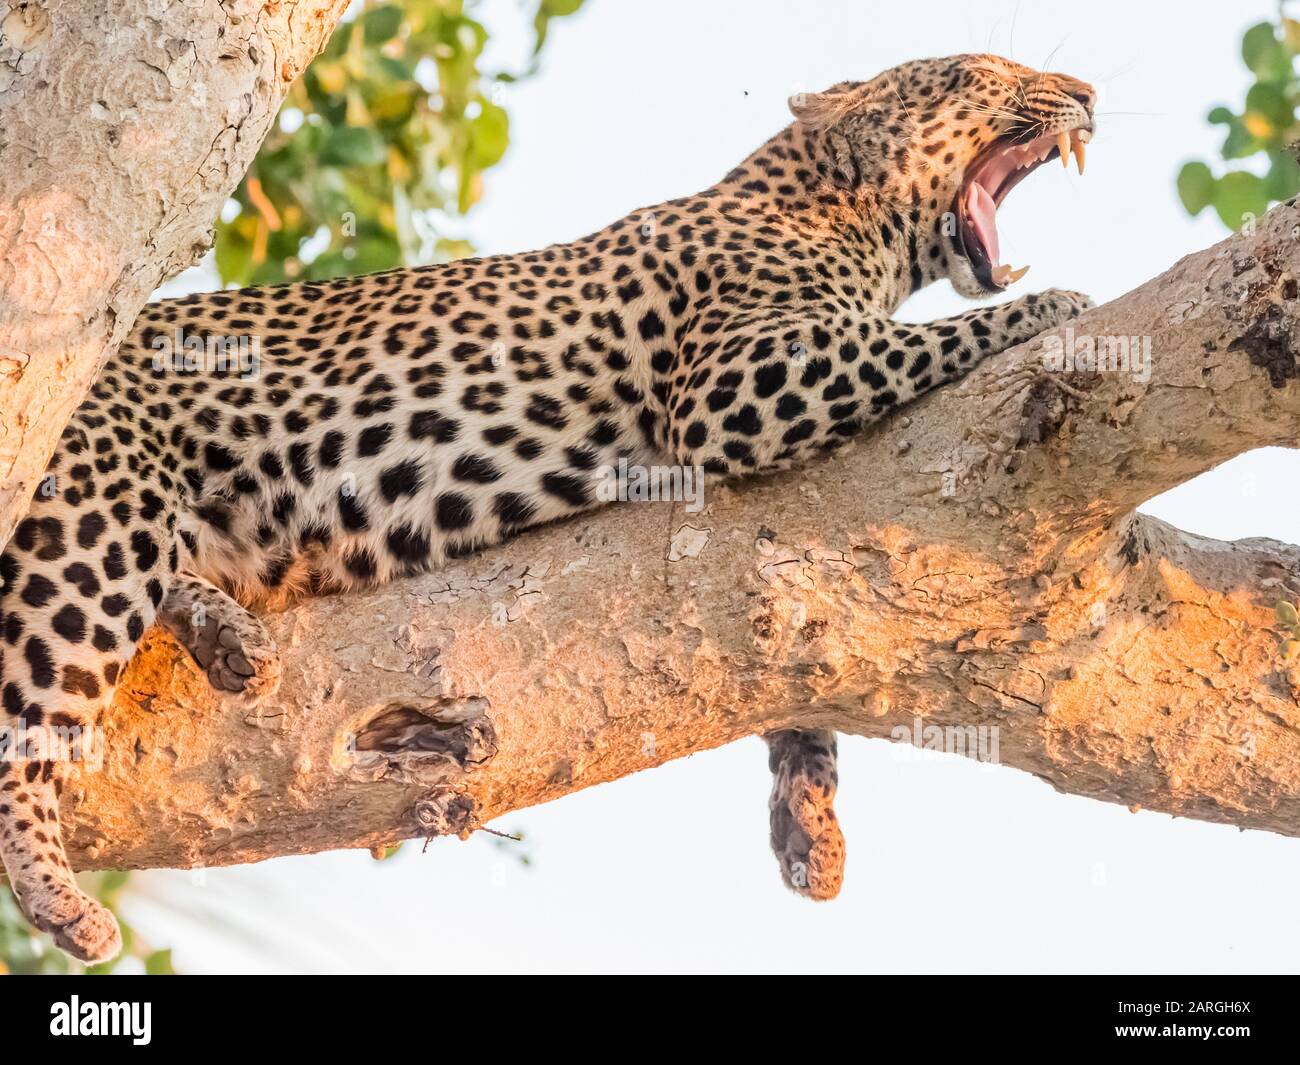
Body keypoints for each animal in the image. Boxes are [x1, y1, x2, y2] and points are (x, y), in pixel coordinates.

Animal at [0, 52, 1097, 967]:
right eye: (978, 70)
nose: (1085, 92)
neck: (842, 213)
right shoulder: (735, 380)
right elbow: (918, 340)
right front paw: (1059, 309)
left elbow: (794, 678)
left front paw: (809, 828)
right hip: (94, 504)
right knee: (31, 716)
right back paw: (58, 893)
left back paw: (226, 635)